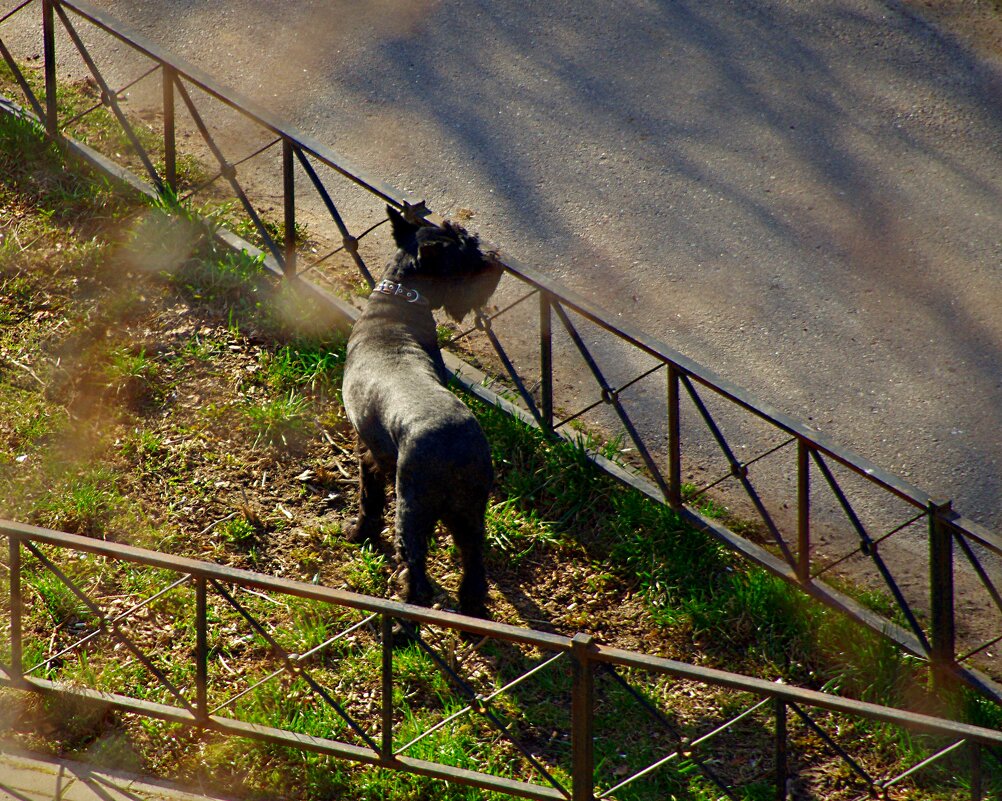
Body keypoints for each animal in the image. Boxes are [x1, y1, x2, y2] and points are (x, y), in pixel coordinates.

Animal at [342, 206, 501, 621]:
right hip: (469, 513)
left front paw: (359, 533)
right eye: (464, 251)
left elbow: (368, 497)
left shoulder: (368, 451)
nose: (494, 262)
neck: (402, 298)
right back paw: (471, 612)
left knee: (415, 574)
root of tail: (457, 446)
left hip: (413, 510)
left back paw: (403, 622)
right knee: (474, 565)